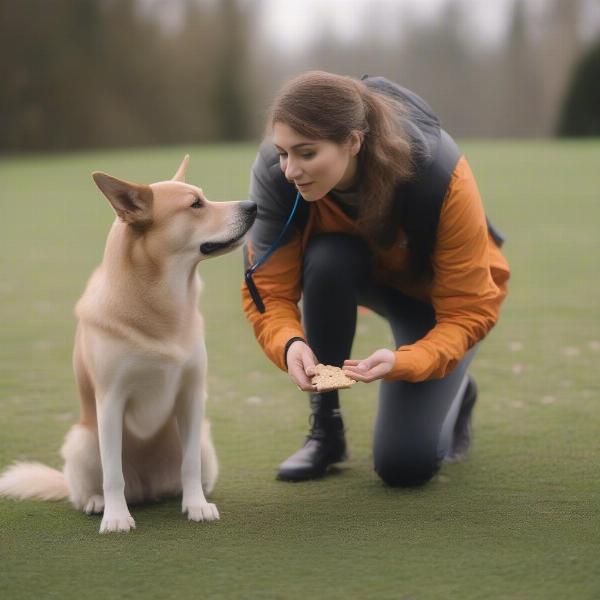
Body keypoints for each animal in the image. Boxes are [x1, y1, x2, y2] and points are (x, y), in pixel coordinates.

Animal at [0, 156, 255, 536]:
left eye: (203, 197)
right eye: (195, 205)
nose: (254, 206)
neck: (162, 308)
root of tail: (148, 488)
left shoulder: (192, 395)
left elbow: (190, 465)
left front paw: (196, 506)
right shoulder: (110, 401)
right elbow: (113, 473)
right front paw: (117, 518)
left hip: (204, 441)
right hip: (83, 441)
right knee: (90, 487)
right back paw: (97, 503)